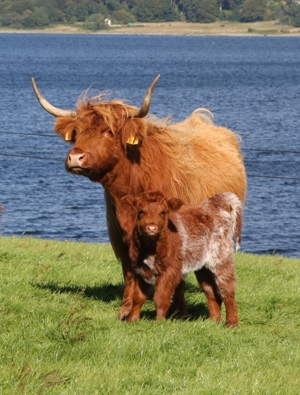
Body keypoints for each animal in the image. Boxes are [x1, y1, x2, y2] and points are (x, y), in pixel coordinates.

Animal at [116, 190, 243, 326]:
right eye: (141, 212)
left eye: (163, 212)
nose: (151, 227)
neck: (151, 248)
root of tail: (211, 206)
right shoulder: (140, 270)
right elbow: (138, 297)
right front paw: (132, 320)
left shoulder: (170, 270)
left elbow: (160, 298)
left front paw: (159, 322)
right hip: (203, 266)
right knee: (210, 291)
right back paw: (213, 322)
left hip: (221, 259)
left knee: (227, 290)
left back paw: (232, 324)